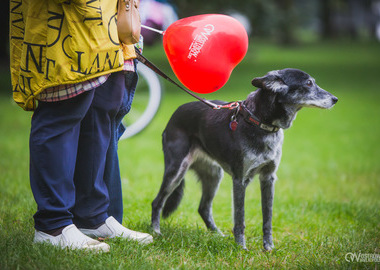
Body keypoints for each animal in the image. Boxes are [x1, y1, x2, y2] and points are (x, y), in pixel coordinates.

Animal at [150, 68, 336, 250]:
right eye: (309, 83)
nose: (335, 99)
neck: (261, 123)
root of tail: (176, 113)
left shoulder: (268, 178)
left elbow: (267, 217)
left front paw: (268, 247)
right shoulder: (240, 179)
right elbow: (240, 217)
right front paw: (241, 247)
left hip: (213, 174)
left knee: (203, 208)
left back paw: (217, 235)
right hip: (177, 170)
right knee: (157, 201)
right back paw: (156, 231)